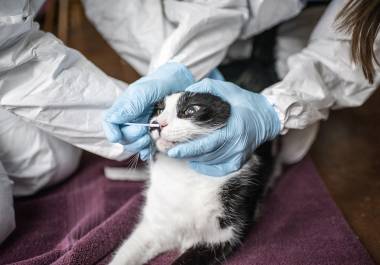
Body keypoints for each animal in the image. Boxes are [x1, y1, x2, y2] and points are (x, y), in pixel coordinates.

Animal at [105, 91, 274, 264]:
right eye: (159, 110)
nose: (156, 124)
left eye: (192, 109)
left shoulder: (223, 235)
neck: (185, 174)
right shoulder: (154, 226)